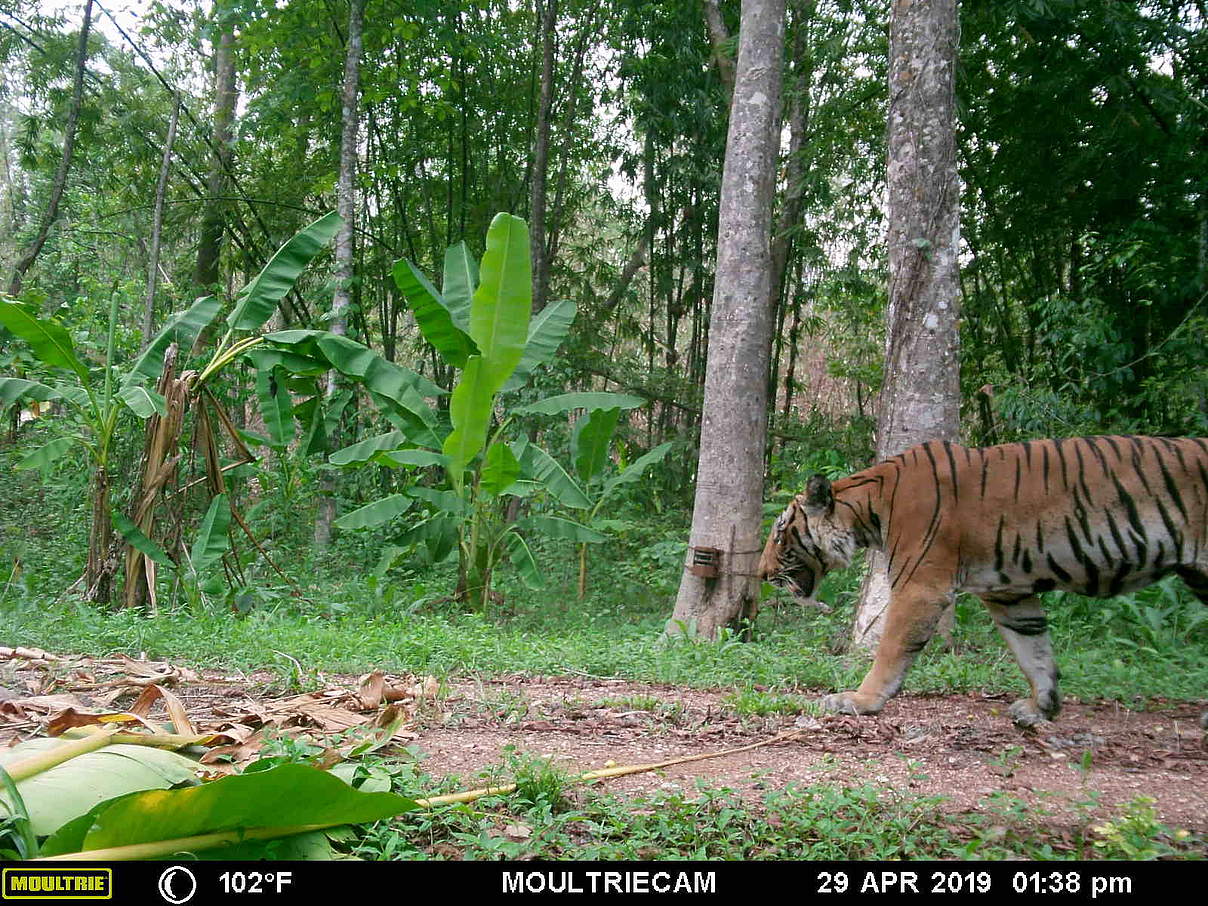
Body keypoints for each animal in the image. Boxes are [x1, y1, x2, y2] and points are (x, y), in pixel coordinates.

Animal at [758, 437, 1203, 729]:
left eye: (780, 535)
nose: (761, 574)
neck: (868, 509)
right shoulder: (1010, 594)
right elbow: (1034, 651)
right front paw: (1041, 707)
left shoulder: (921, 586)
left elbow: (890, 649)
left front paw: (860, 700)